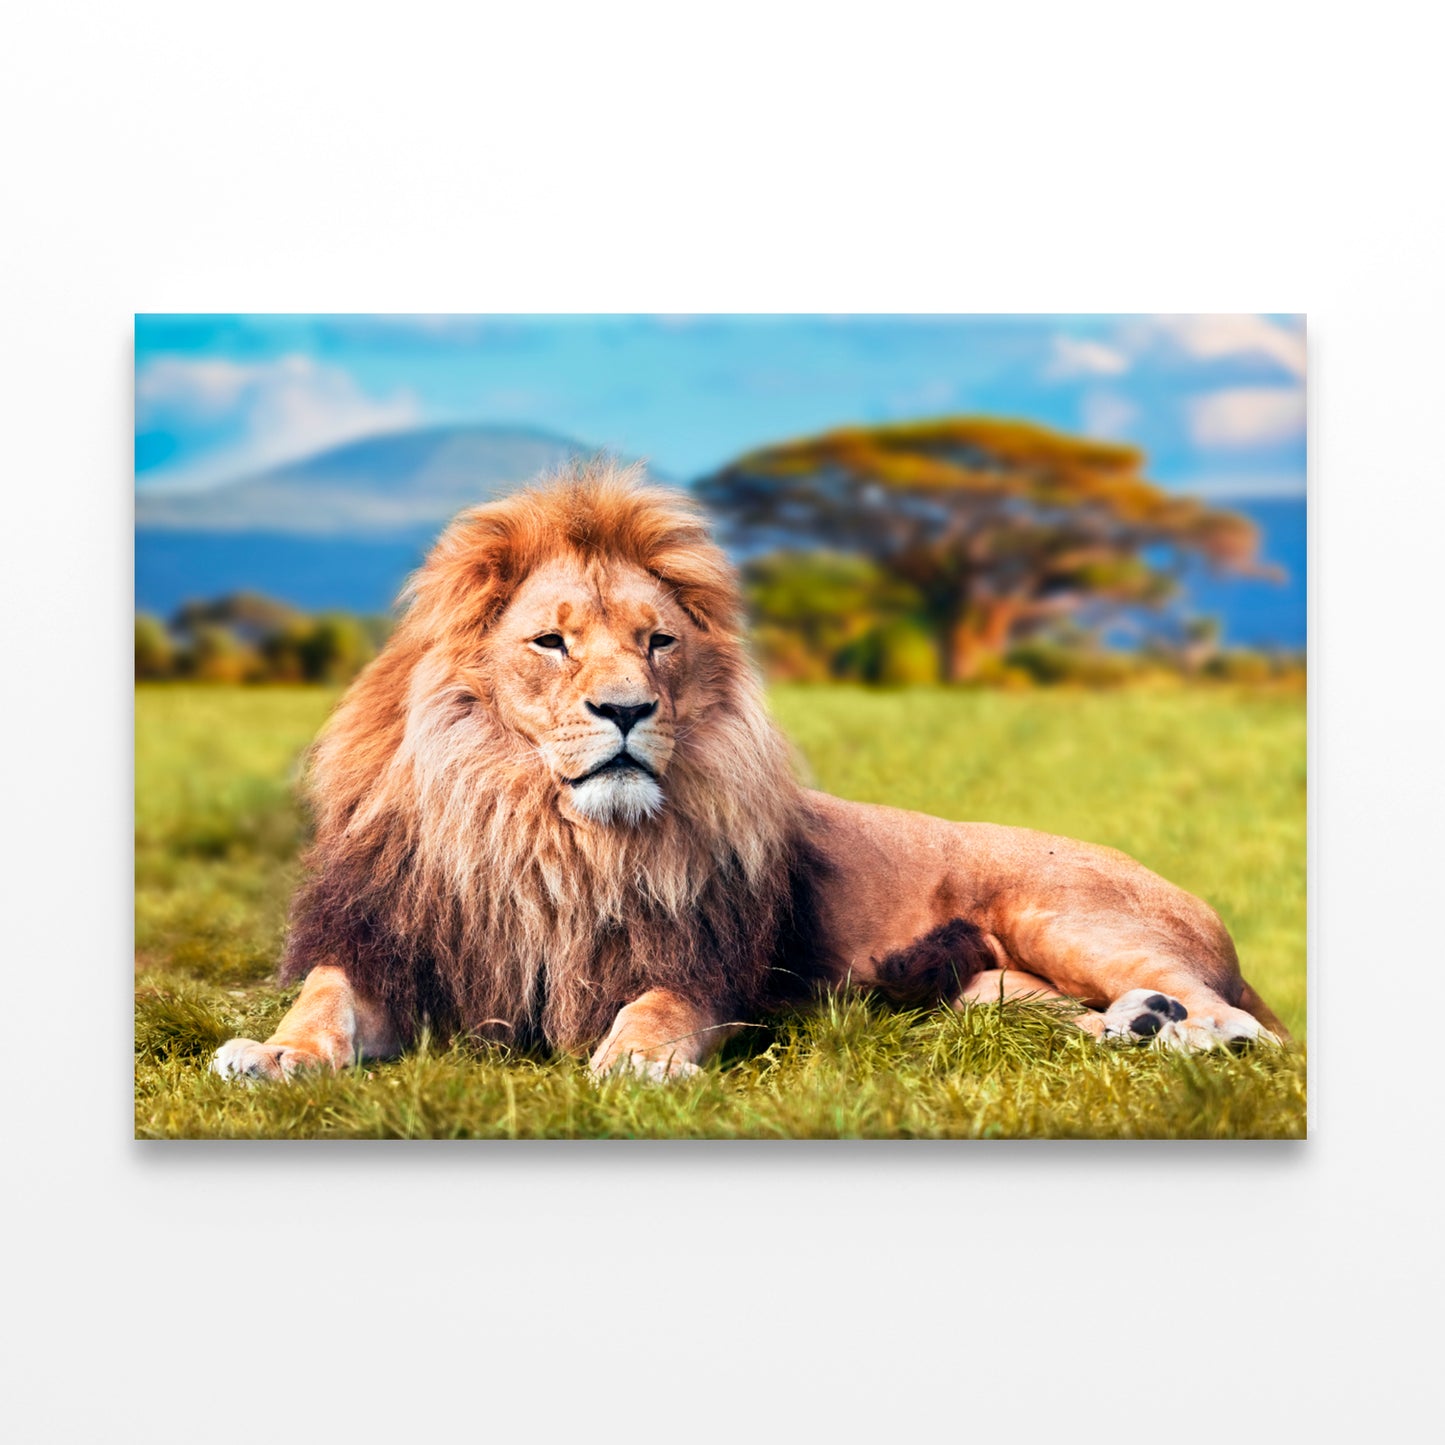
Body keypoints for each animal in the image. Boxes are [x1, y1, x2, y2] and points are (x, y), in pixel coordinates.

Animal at [212, 461, 1287, 1084]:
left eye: (657, 642)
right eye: (552, 643)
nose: (627, 711)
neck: (544, 835)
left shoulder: (700, 964)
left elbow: (656, 1008)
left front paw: (636, 1063)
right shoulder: (390, 948)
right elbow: (323, 1003)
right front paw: (271, 1053)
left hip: (1063, 912)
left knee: (1248, 1025)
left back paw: (1189, 1032)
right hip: (985, 988)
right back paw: (1134, 1028)